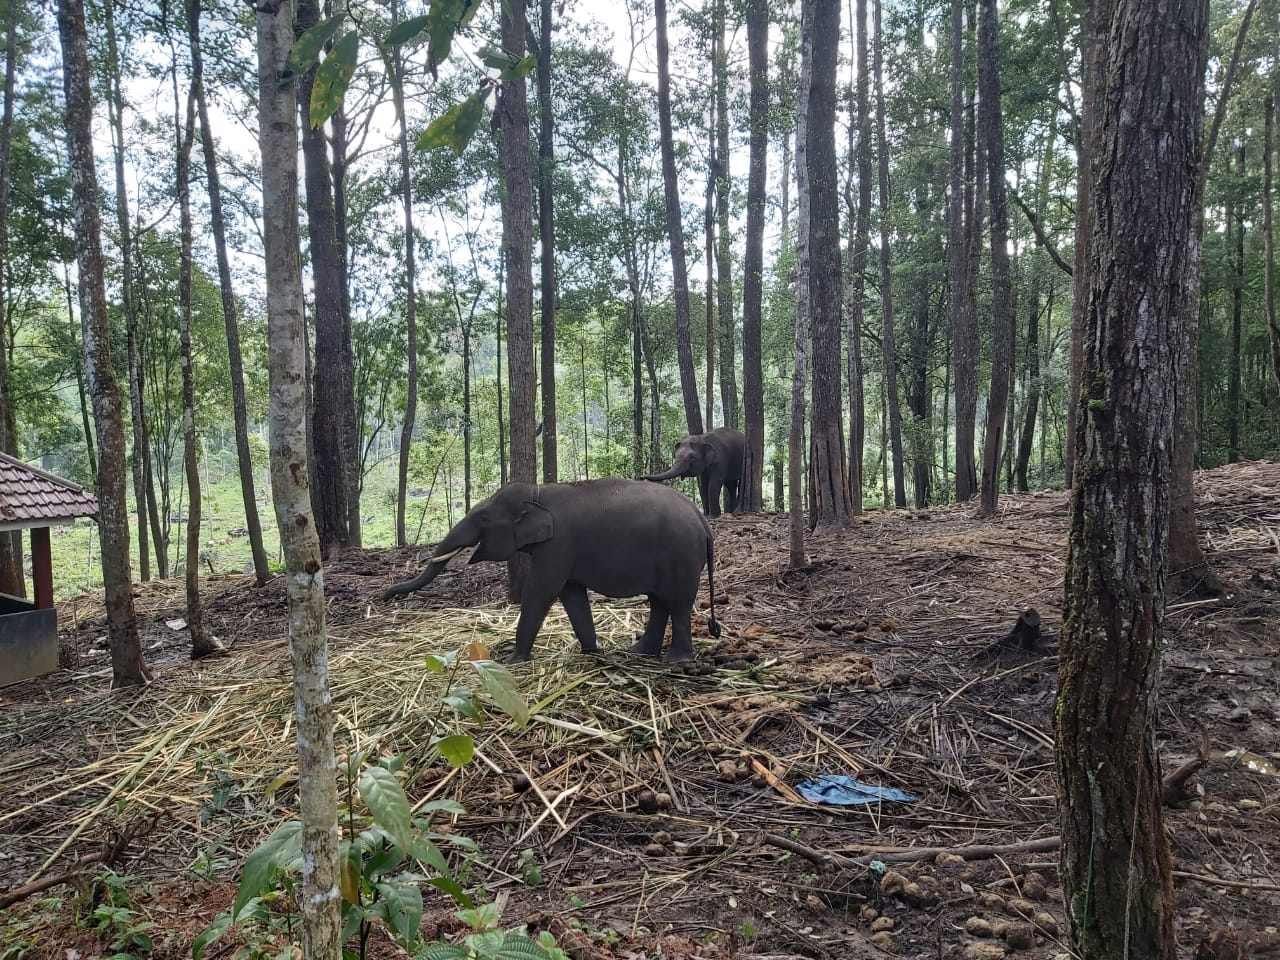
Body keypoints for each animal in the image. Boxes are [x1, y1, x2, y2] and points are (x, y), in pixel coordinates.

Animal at [382, 477, 721, 664]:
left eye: (483, 520)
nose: (385, 596)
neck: (538, 493)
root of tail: (702, 521)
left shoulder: (558, 545)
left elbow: (541, 591)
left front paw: (513, 660)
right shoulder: (564, 553)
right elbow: (571, 595)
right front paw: (591, 653)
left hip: (682, 554)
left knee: (678, 603)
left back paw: (675, 660)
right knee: (659, 602)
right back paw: (639, 652)